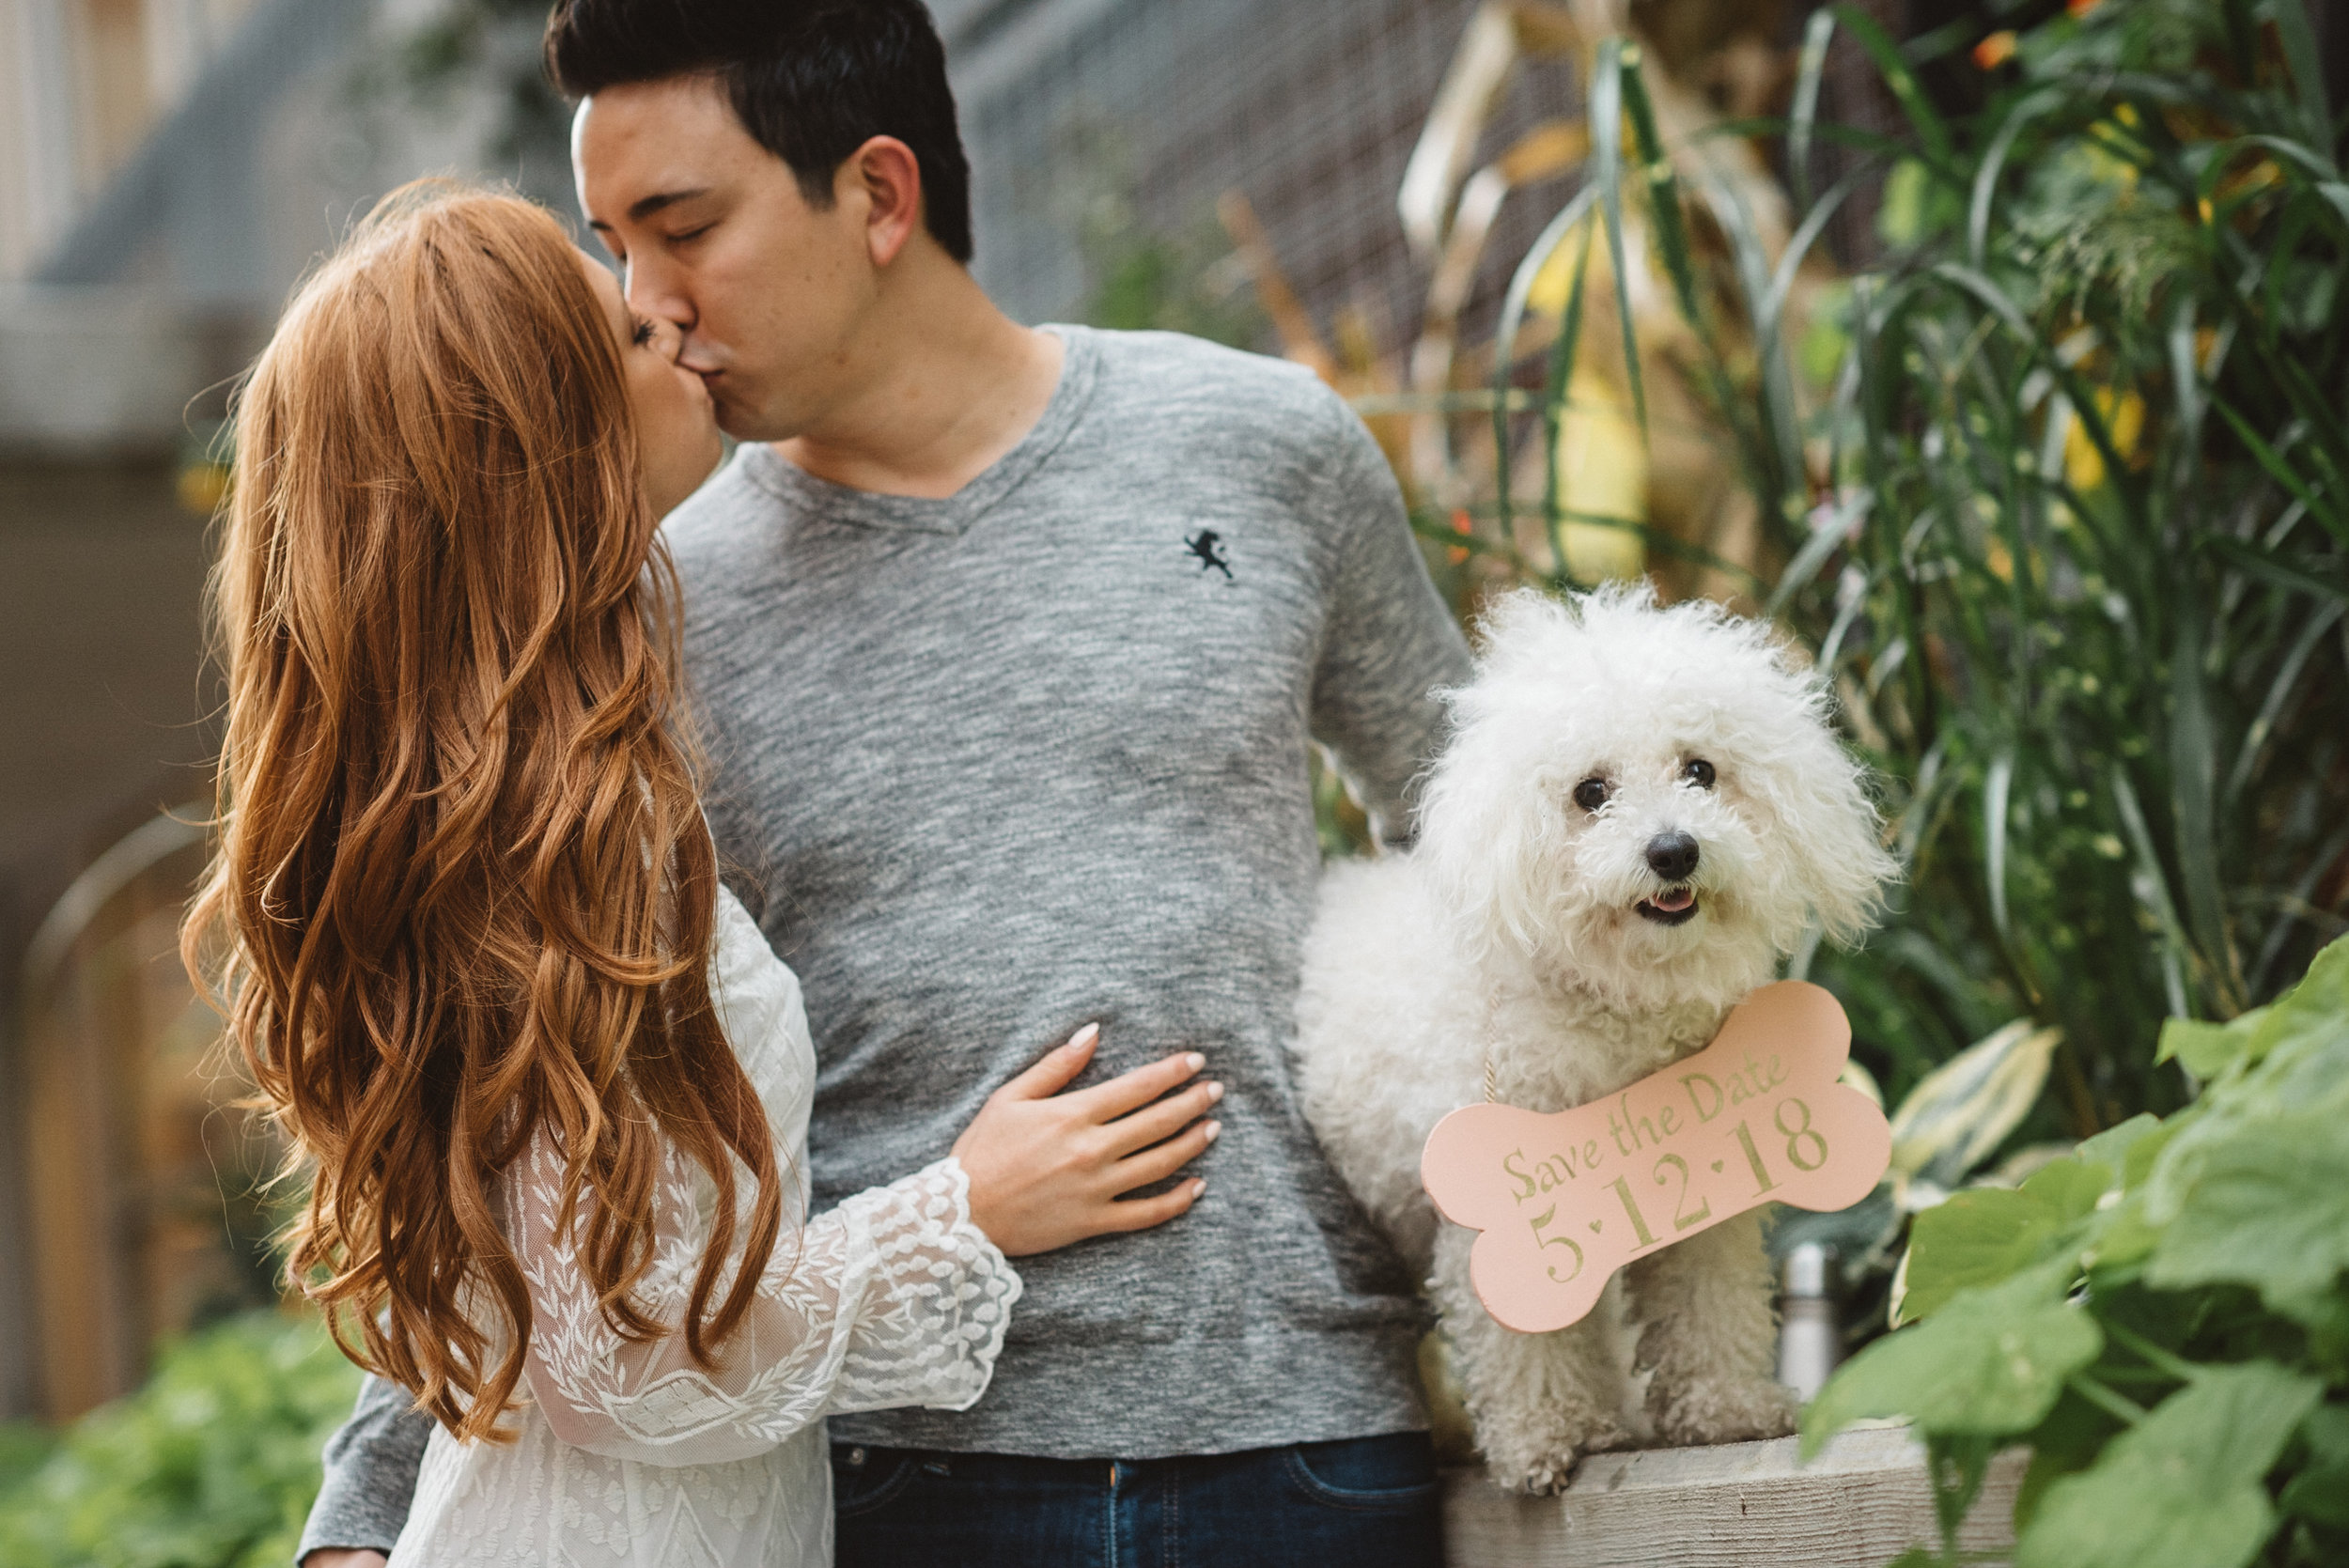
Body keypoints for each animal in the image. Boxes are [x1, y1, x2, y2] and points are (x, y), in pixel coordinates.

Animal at [1297, 582, 1898, 1493]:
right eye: (1590, 792)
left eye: (1700, 769)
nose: (1674, 849)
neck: (1613, 1008)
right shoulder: (1493, 1229)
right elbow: (1526, 1337)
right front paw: (1550, 1436)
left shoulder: (1704, 1199)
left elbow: (1709, 1302)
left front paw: (1726, 1407)